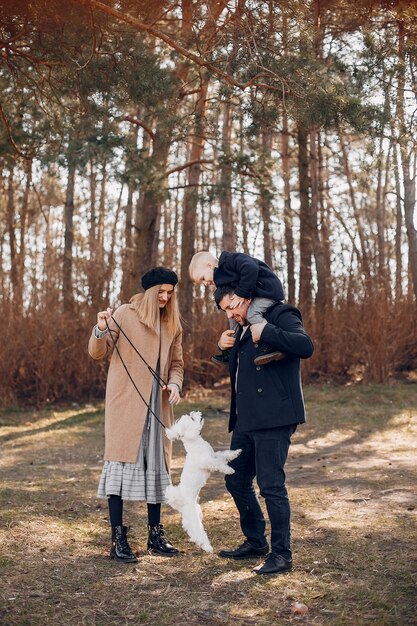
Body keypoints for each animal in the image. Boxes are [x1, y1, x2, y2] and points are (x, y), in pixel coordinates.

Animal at [163, 410, 240, 552]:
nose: (199, 413)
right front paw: (229, 470)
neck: (195, 443)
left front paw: (236, 452)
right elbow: (219, 464)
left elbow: (223, 454)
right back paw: (207, 547)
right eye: (193, 419)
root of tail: (181, 501)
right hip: (193, 519)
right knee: (197, 532)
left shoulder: (214, 455)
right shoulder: (208, 461)